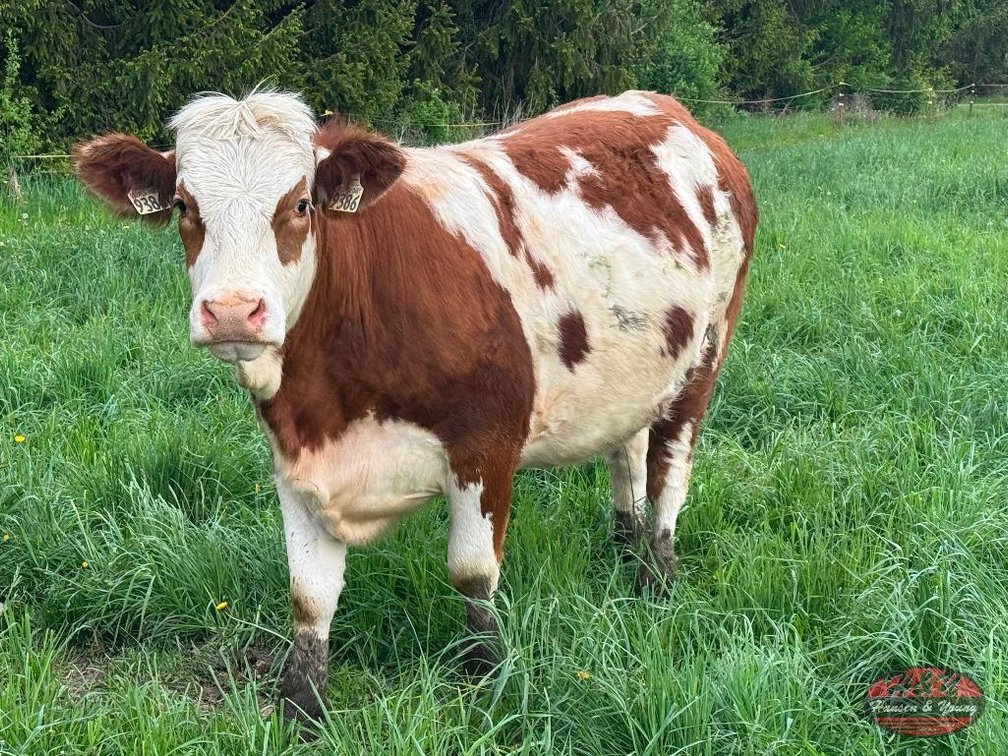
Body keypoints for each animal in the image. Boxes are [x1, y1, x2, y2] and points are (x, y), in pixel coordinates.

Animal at [72, 89, 757, 726]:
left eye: (301, 204)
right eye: (184, 207)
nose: (234, 311)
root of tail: (665, 107)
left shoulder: (487, 445)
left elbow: (473, 575)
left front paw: (490, 677)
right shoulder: (296, 462)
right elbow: (309, 596)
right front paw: (302, 707)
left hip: (702, 362)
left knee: (669, 470)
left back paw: (654, 575)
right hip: (636, 374)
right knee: (628, 452)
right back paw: (624, 541)